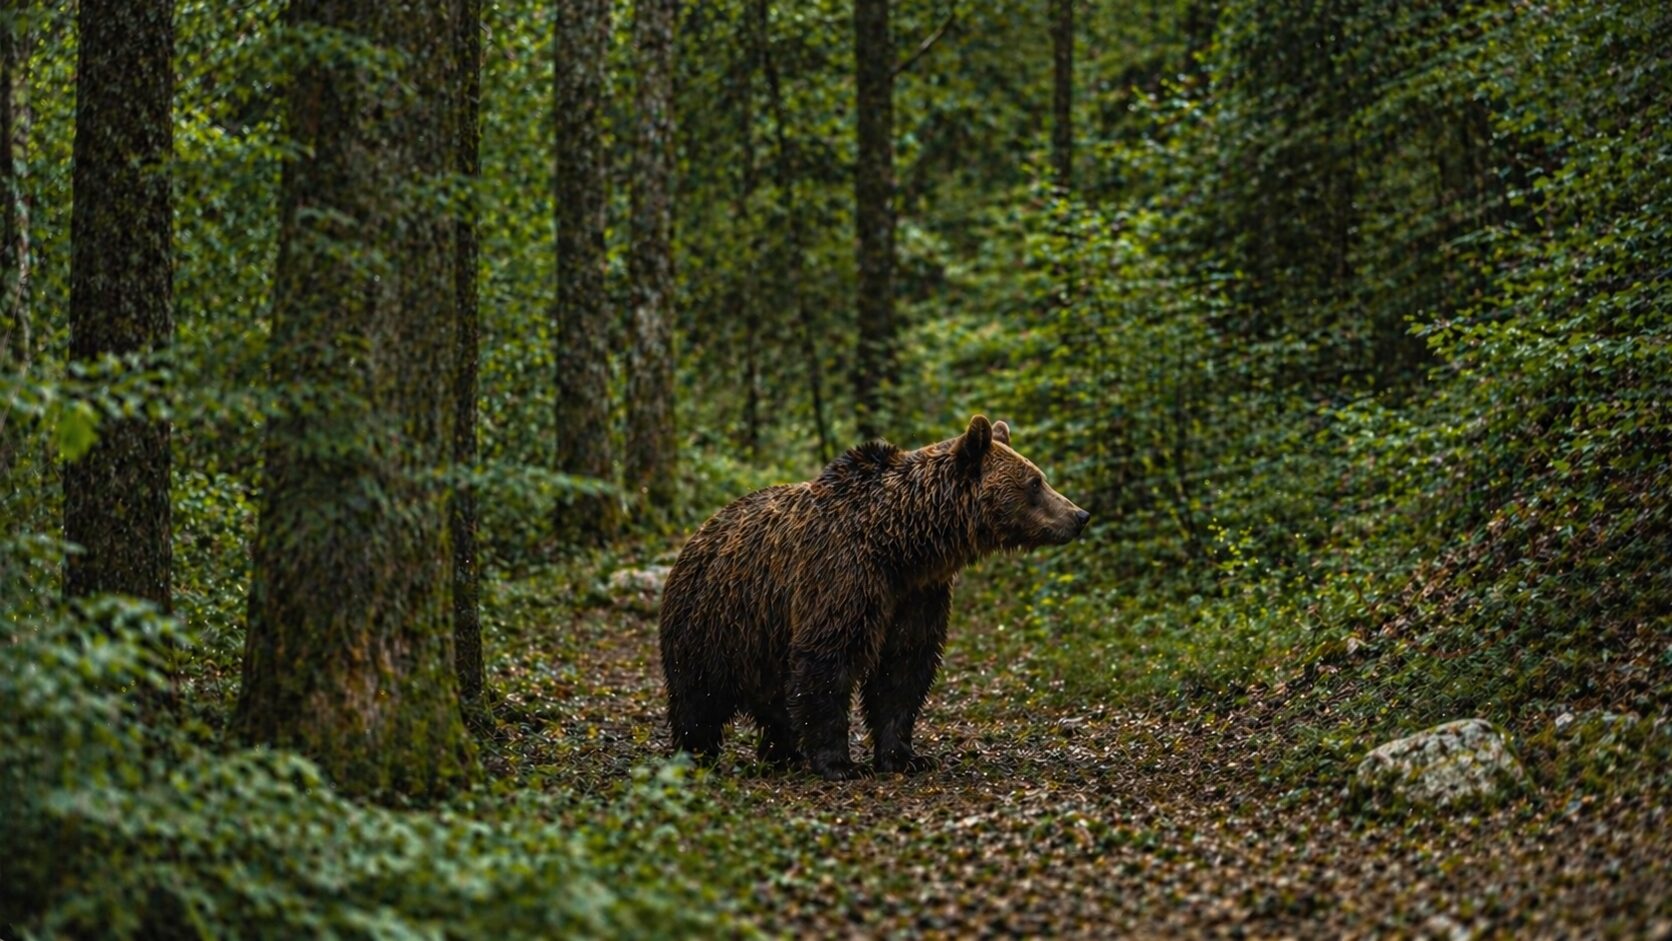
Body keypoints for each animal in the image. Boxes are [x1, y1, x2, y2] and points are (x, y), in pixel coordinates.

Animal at [657, 415, 1090, 780]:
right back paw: (697, 755)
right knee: (698, 696)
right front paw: (840, 764)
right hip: (716, 620)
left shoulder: (917, 595)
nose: (1079, 515)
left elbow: (902, 671)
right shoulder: (842, 577)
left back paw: (783, 753)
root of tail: (699, 533)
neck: (903, 544)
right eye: (1035, 482)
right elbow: (828, 661)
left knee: (774, 701)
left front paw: (906, 756)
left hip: (761, 636)